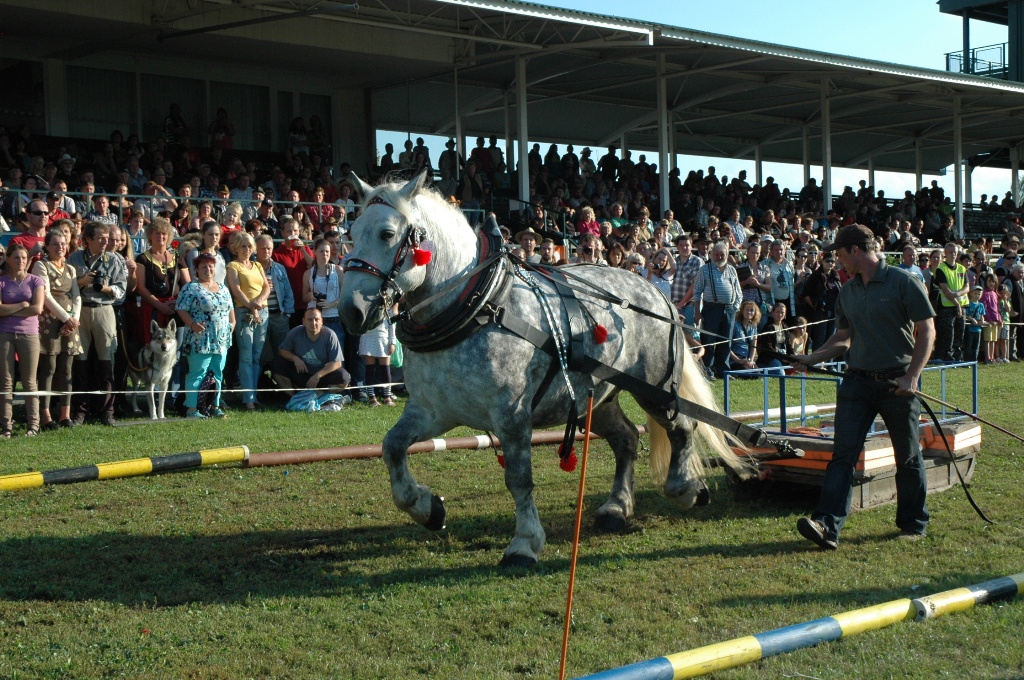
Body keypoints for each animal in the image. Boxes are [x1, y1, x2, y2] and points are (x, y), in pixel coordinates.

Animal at [338, 173, 750, 567]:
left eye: (387, 233)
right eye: (351, 233)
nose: (350, 312)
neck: (479, 305)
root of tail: (655, 291)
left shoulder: (511, 414)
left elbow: (519, 479)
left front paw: (524, 543)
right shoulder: (434, 411)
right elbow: (392, 448)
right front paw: (427, 508)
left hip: (653, 385)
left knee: (681, 426)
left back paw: (685, 489)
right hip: (595, 399)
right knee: (627, 439)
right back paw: (616, 508)